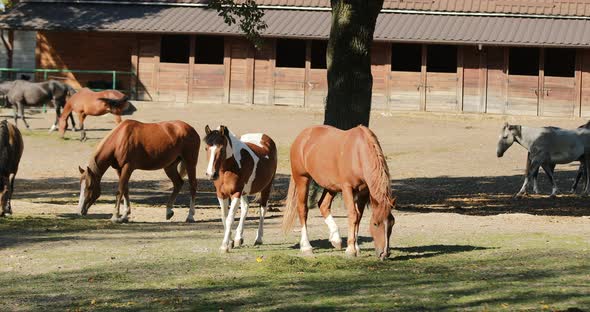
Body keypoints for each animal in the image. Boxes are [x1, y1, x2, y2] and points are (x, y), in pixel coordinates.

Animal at [284, 123, 398, 258]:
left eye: (392, 223)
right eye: (375, 223)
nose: (384, 253)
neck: (358, 153)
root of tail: (302, 136)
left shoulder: (363, 192)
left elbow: (359, 217)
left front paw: (356, 247)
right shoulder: (347, 188)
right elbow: (353, 215)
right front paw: (351, 249)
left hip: (330, 186)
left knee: (323, 205)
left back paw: (336, 239)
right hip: (302, 178)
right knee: (303, 210)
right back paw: (306, 247)